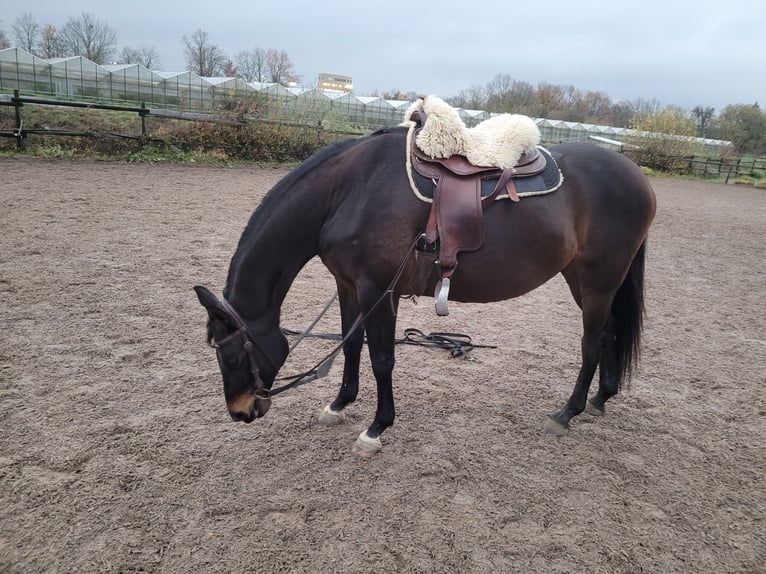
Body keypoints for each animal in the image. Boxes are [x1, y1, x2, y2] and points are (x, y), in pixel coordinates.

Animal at [194, 125, 656, 456]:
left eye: (231, 355)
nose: (240, 412)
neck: (348, 191)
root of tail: (638, 177)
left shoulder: (378, 289)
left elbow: (382, 358)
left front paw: (376, 427)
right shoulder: (347, 285)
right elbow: (351, 344)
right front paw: (340, 404)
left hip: (598, 280)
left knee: (592, 343)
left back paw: (566, 413)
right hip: (583, 279)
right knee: (610, 335)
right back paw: (601, 398)